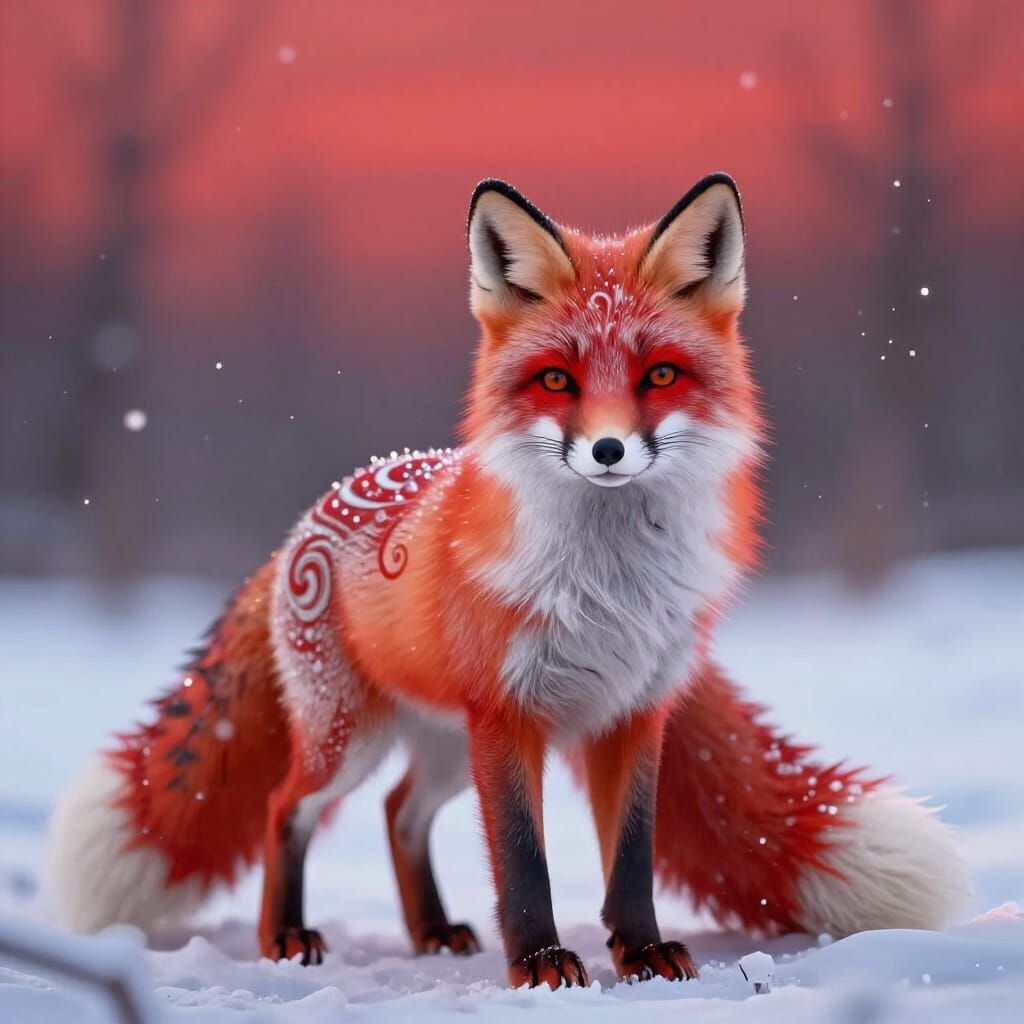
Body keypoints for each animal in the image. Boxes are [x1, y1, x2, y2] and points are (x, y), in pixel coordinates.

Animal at [49, 175, 968, 988]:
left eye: (659, 375)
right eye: (557, 379)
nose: (607, 450)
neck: (611, 590)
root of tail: (309, 519)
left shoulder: (635, 714)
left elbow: (630, 856)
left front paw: (641, 953)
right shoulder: (508, 716)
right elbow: (524, 858)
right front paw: (539, 965)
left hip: (444, 749)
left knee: (399, 811)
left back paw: (431, 932)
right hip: (357, 739)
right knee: (288, 806)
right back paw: (286, 937)